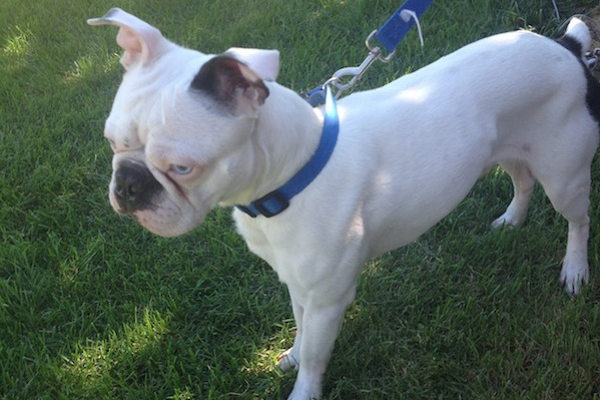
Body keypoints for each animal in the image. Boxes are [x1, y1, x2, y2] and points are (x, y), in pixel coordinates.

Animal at [86, 10, 596, 400]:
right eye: (111, 141)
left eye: (182, 168)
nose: (128, 185)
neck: (291, 174)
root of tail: (565, 47)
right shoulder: (298, 284)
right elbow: (299, 327)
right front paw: (291, 355)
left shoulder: (329, 298)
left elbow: (317, 352)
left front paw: (304, 391)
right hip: (509, 147)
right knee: (522, 180)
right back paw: (513, 219)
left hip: (564, 174)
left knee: (578, 220)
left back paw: (575, 269)